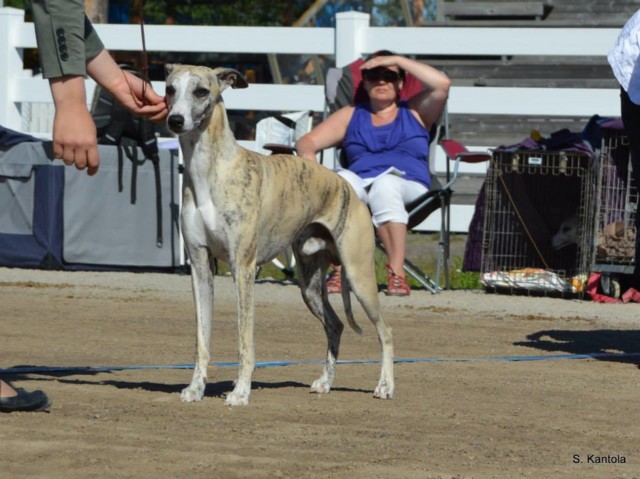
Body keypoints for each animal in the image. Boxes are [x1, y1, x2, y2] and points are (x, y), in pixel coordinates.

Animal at [164, 63, 396, 406]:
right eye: (169, 89)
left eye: (201, 91)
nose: (175, 120)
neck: (211, 171)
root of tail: (348, 189)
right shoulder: (200, 266)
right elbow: (201, 338)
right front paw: (196, 388)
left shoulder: (243, 268)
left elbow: (245, 339)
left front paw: (240, 392)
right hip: (309, 284)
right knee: (335, 325)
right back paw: (325, 382)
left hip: (359, 276)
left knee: (385, 331)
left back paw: (385, 386)